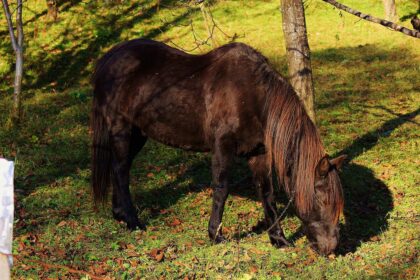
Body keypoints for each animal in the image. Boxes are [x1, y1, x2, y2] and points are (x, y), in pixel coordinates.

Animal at [91, 39, 344, 256]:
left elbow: (267, 193)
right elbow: (222, 189)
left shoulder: (259, 153)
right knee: (121, 171)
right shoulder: (223, 147)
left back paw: (120, 215)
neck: (252, 96)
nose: (330, 248)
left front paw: (278, 239)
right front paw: (216, 235)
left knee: (120, 168)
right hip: (122, 129)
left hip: (138, 134)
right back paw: (133, 221)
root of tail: (109, 59)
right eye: (323, 200)